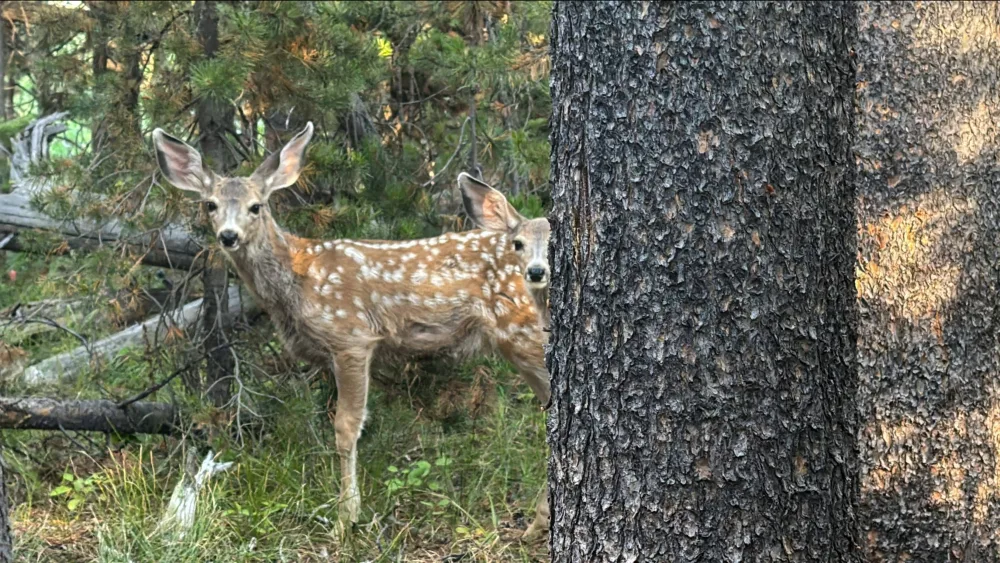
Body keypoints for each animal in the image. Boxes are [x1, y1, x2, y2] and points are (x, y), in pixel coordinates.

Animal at [151, 122, 551, 539]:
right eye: (210, 205)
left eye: (256, 206)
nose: (228, 236)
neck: (297, 282)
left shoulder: (351, 336)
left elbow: (346, 426)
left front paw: (347, 517)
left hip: (524, 332)